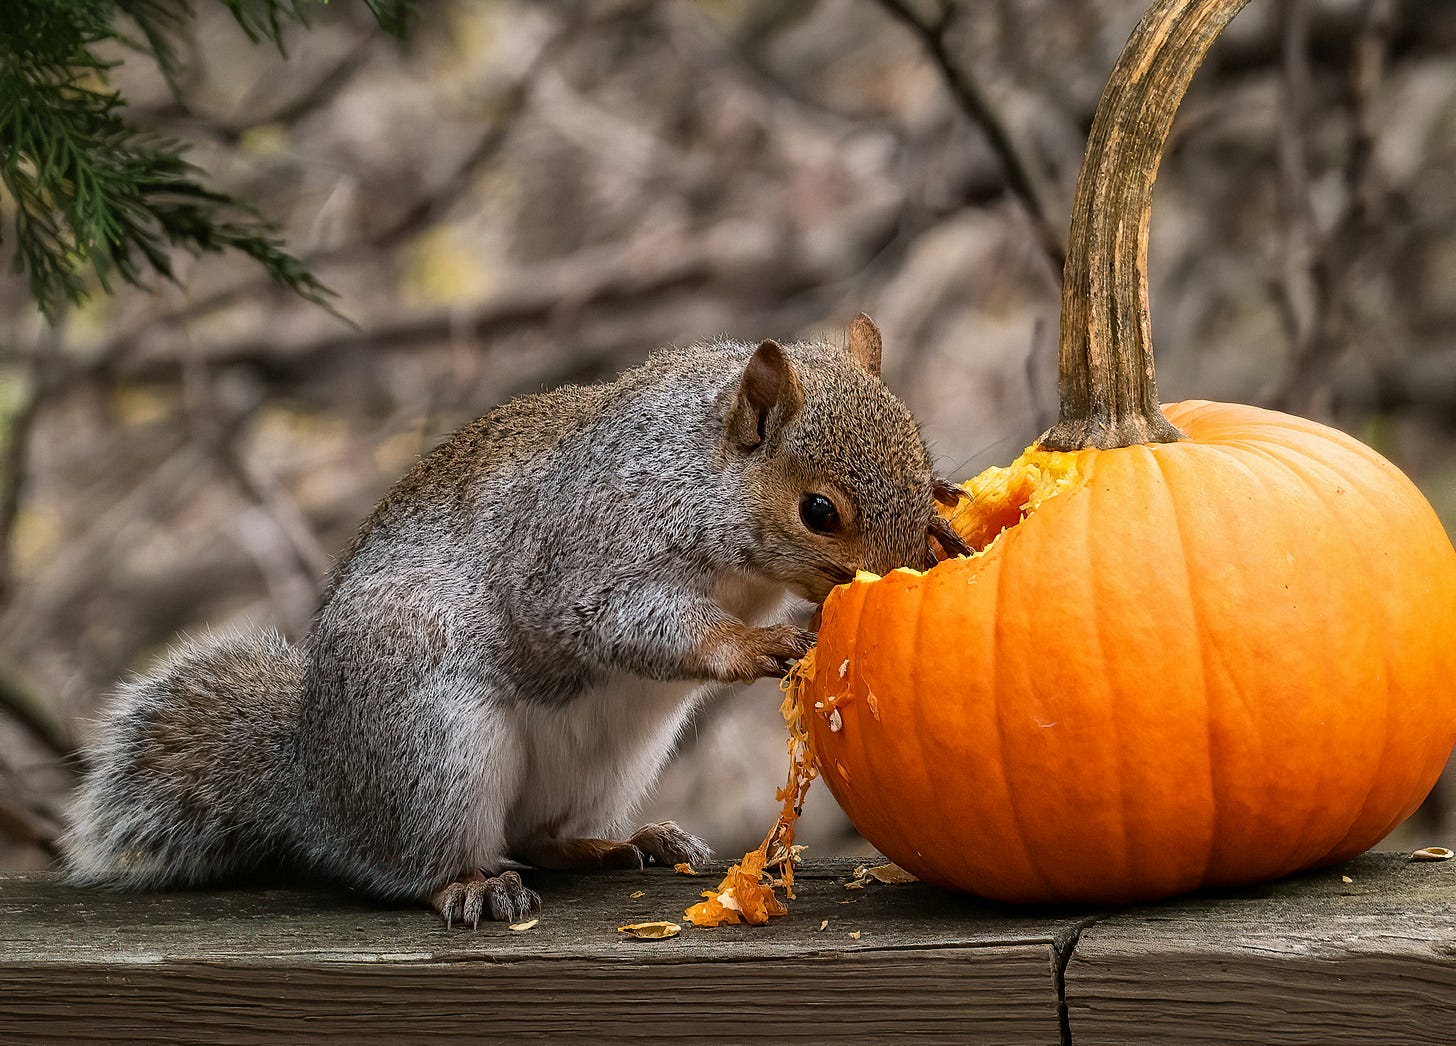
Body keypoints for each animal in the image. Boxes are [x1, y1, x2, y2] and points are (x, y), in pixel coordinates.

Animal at [62, 316, 943, 932]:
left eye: (927, 475)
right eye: (819, 511)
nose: (909, 568)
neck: (703, 475)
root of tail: (315, 785)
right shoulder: (589, 553)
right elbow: (623, 621)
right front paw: (760, 643)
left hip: (610, 761)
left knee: (541, 834)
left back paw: (622, 843)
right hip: (432, 751)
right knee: (412, 865)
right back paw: (469, 887)